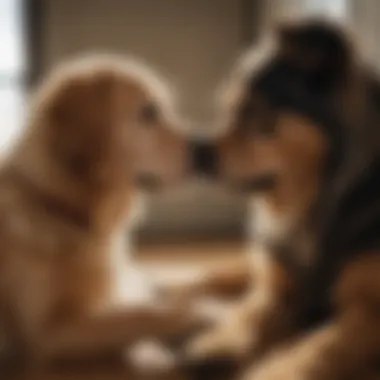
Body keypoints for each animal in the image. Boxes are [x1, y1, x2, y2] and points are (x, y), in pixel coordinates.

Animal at [182, 20, 380, 380]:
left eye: (254, 111)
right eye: (227, 108)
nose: (196, 152)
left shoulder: (370, 313)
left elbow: (315, 349)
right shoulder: (276, 290)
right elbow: (249, 313)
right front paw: (218, 344)